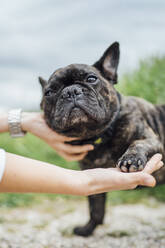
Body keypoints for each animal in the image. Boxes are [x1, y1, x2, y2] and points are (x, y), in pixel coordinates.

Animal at [39, 42, 165, 236]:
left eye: (91, 79)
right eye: (49, 92)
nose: (71, 91)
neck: (99, 135)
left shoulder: (152, 139)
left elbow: (138, 143)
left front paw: (131, 158)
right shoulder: (91, 175)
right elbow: (95, 207)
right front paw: (88, 229)